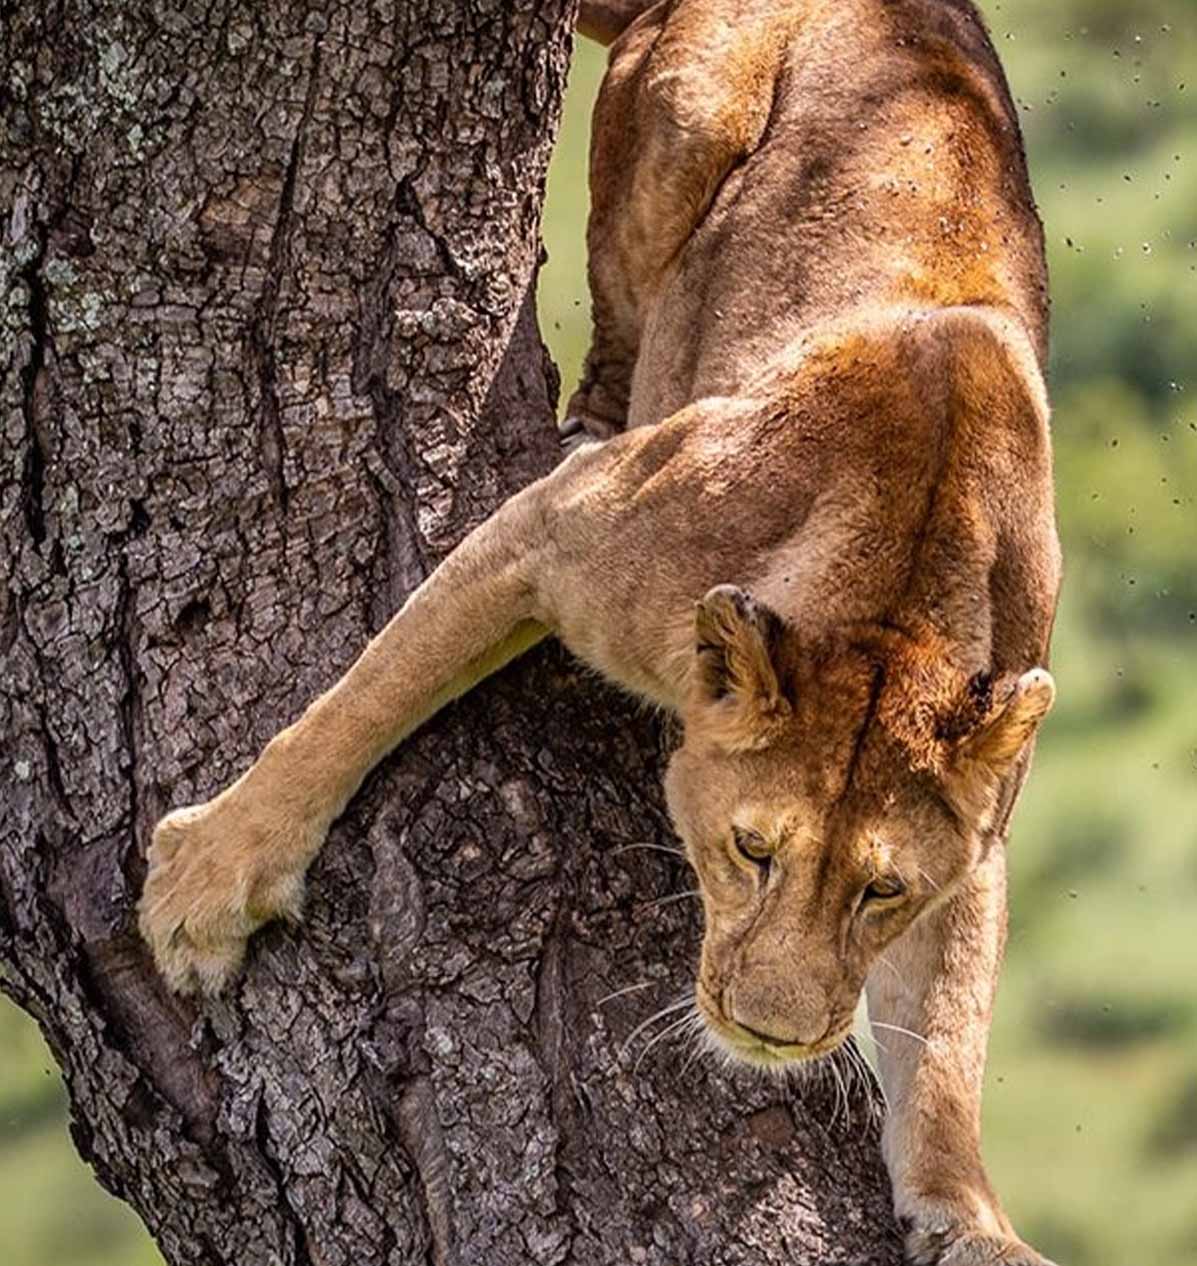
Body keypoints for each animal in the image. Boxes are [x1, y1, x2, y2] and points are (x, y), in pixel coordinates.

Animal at [139, 1, 1062, 1262]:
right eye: (751, 851)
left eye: (882, 892)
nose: (772, 1033)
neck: (899, 602)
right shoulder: (553, 532)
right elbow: (363, 701)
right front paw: (211, 879)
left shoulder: (979, 829)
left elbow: (949, 1036)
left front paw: (969, 1215)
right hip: (691, 116)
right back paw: (595, 408)